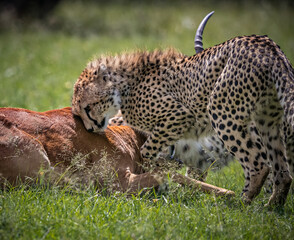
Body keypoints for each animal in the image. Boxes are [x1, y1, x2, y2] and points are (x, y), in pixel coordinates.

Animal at [72, 23, 294, 205]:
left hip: (222, 113)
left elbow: (147, 151)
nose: (90, 128)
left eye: (87, 108)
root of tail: (266, 45)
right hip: (267, 121)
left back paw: (244, 203)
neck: (124, 83)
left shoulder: (179, 116)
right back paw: (271, 207)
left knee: (259, 165)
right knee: (282, 171)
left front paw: (161, 168)